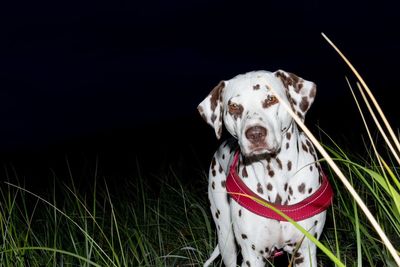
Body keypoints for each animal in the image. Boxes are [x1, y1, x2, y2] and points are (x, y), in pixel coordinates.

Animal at [198, 71, 326, 267]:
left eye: (271, 99)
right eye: (234, 107)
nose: (255, 134)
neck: (275, 174)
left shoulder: (305, 252)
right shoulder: (253, 256)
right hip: (226, 238)